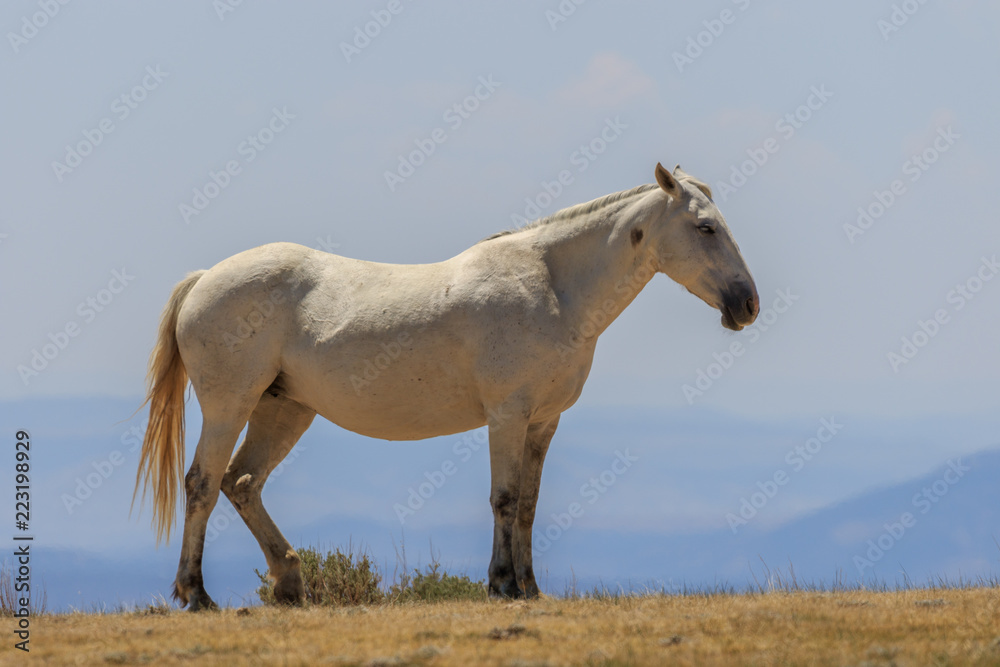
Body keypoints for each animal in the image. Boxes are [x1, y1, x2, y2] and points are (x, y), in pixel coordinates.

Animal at [133, 162, 759, 610]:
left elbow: (528, 504)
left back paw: (289, 585)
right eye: (705, 227)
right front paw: (502, 585)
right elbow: (504, 498)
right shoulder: (508, 415)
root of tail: (205, 279)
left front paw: (531, 588)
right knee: (202, 484)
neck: (553, 288)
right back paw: (198, 594)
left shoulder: (542, 421)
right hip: (230, 404)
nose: (746, 304)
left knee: (242, 483)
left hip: (284, 409)